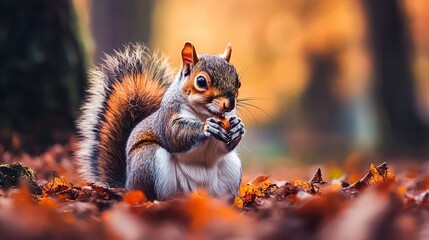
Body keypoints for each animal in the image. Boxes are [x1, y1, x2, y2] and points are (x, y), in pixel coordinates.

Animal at [76, 42, 244, 200]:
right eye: (201, 81)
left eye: (238, 82)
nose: (230, 103)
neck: (204, 114)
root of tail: (127, 184)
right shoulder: (168, 116)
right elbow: (174, 136)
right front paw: (206, 127)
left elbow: (224, 147)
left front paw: (238, 127)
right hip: (148, 159)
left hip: (232, 168)